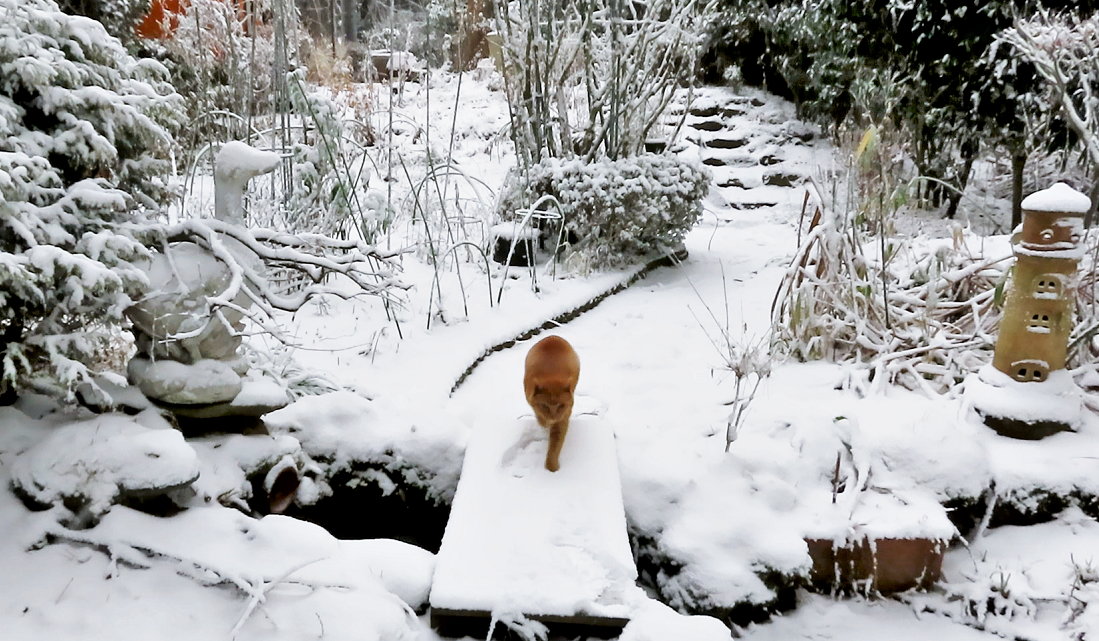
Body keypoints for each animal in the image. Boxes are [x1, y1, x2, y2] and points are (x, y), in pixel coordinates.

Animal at [525, 336, 580, 470]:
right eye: (544, 406)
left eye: (561, 406)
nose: (553, 418)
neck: (551, 375)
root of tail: (554, 336)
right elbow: (539, 415)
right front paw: (544, 422)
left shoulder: (564, 417)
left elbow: (556, 444)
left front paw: (552, 467)